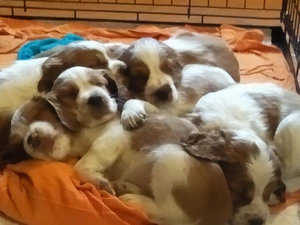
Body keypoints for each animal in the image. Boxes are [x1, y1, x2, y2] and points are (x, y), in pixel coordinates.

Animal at [10, 66, 233, 225]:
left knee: (173, 215)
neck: (78, 137)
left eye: (39, 114)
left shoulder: (113, 136)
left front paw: (97, 180)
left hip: (170, 158)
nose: (31, 139)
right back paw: (125, 187)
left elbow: (83, 163)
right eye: (19, 143)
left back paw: (134, 200)